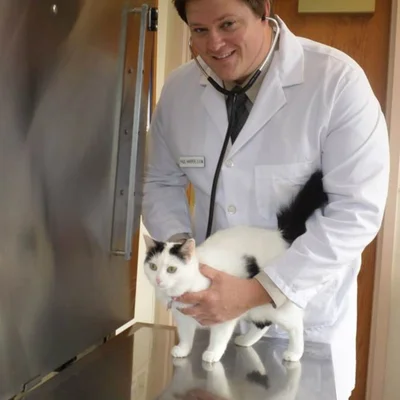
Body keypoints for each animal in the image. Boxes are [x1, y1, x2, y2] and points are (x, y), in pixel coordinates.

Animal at [143, 169, 328, 364]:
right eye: (153, 266)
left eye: (171, 269)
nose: (158, 279)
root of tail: (279, 235)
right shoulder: (183, 317)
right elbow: (186, 336)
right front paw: (183, 350)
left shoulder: (222, 313)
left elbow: (219, 337)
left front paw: (212, 353)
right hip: (256, 308)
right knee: (263, 324)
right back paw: (246, 341)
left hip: (277, 308)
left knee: (296, 325)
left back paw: (294, 352)